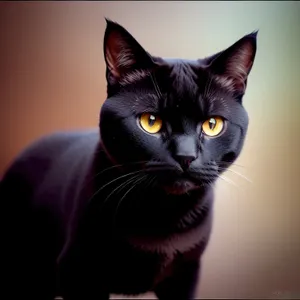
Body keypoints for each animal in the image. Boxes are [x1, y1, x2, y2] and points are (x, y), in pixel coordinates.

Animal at [0, 19, 258, 300]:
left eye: (213, 125)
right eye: (150, 122)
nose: (186, 156)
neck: (162, 216)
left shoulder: (186, 274)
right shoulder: (78, 271)